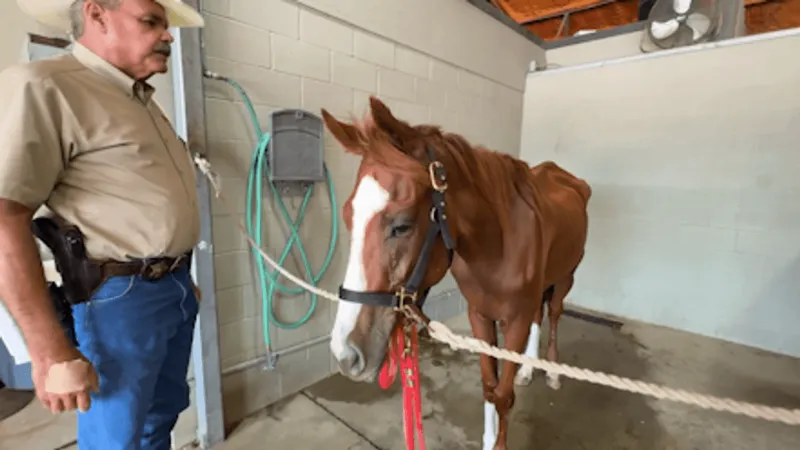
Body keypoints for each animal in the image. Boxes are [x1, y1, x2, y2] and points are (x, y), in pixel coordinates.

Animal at [322, 96, 591, 450]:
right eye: (347, 216)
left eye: (402, 225)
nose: (345, 354)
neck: (497, 245)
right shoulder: (480, 317)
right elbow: (489, 388)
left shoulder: (514, 322)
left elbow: (503, 395)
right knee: (540, 315)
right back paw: (528, 370)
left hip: (566, 277)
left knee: (555, 314)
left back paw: (553, 371)